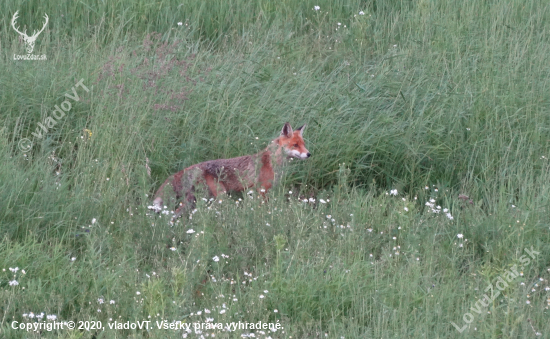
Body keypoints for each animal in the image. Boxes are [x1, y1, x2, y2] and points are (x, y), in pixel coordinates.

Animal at [152, 122, 310, 220]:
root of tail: (196, 166)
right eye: (295, 145)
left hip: (194, 200)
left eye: (303, 144)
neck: (273, 162)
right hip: (219, 196)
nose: (309, 154)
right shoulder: (262, 191)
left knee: (174, 214)